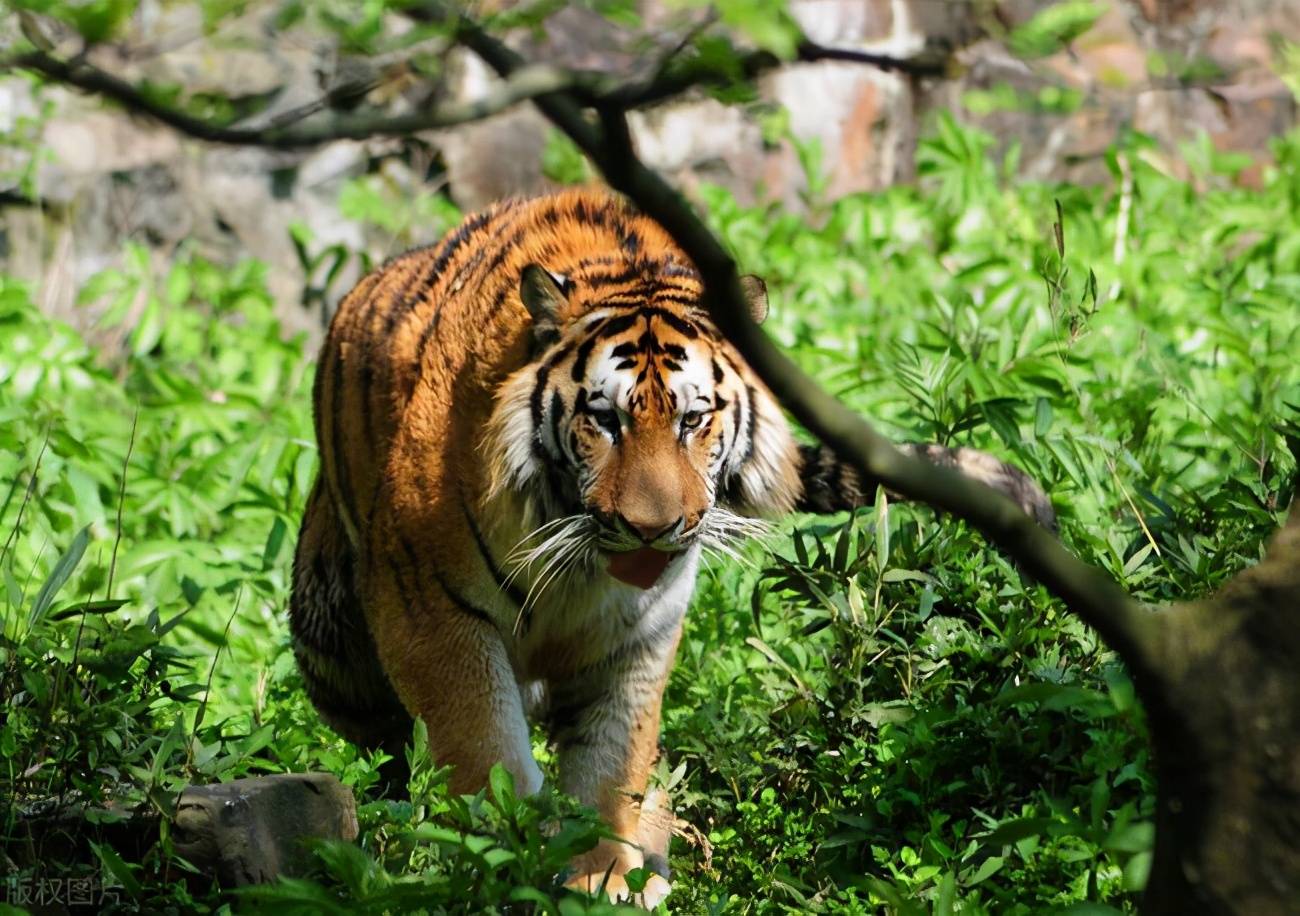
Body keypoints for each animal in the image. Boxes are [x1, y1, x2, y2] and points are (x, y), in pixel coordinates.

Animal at [287, 187, 1055, 909]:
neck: (581, 568)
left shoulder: (637, 637)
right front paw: (507, 859)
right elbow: (485, 754)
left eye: (692, 420)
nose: (653, 528)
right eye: (604, 419)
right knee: (384, 751)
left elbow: (613, 765)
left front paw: (600, 874)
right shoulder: (434, 615)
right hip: (331, 648)